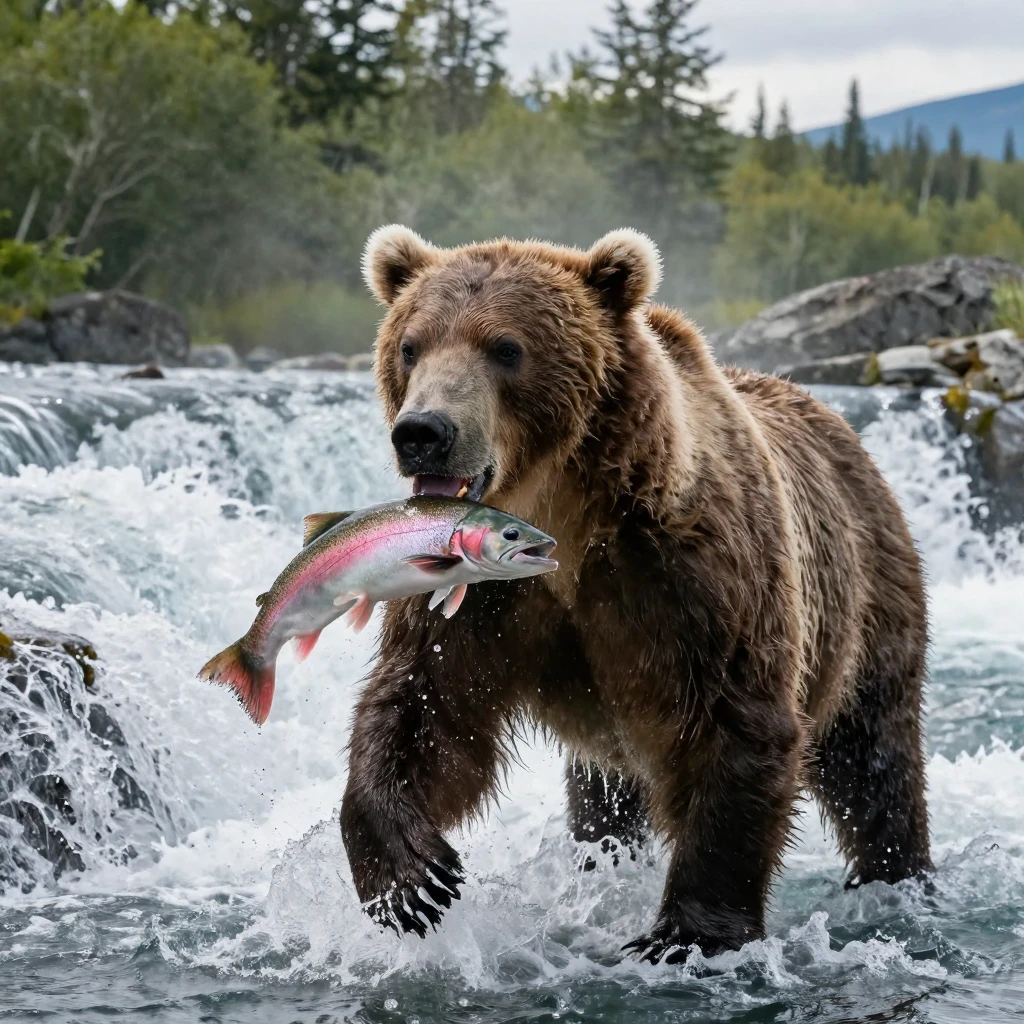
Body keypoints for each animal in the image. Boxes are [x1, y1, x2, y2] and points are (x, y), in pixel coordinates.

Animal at [339, 224, 931, 961]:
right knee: (604, 798)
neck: (565, 509)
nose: (424, 432)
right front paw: (410, 879)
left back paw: (898, 877)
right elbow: (424, 705)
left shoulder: (690, 575)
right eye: (411, 344)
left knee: (874, 760)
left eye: (506, 347)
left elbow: (735, 723)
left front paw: (688, 933)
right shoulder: (471, 590)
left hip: (868, 598)